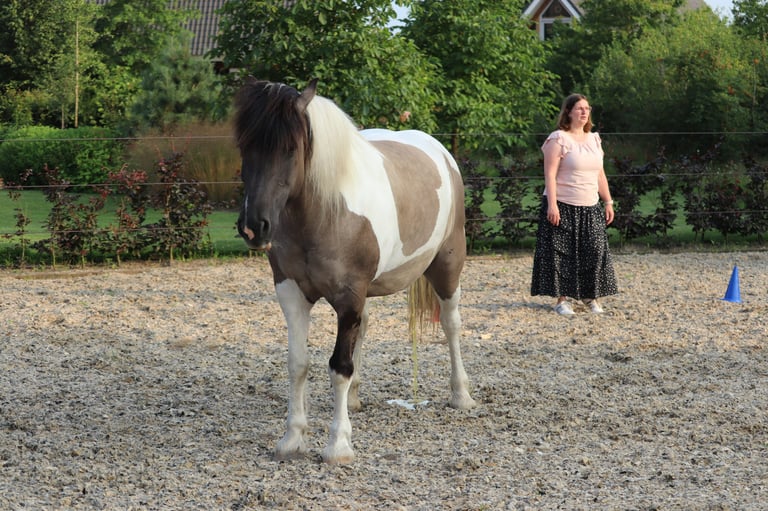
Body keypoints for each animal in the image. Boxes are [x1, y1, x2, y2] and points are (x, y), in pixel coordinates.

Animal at [234, 78, 476, 464]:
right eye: (245, 145)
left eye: (290, 148)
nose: (254, 227)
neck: (325, 211)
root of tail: (441, 151)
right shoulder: (292, 293)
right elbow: (298, 363)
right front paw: (292, 439)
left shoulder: (348, 297)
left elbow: (339, 367)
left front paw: (338, 445)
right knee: (365, 328)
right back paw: (356, 399)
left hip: (448, 265)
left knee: (451, 324)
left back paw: (460, 395)